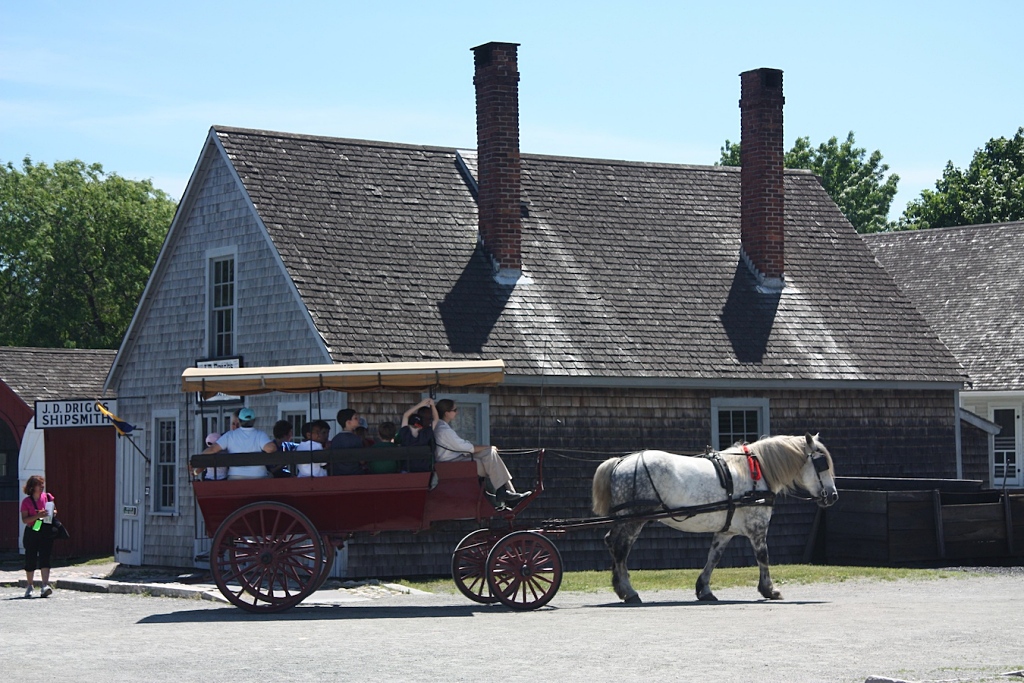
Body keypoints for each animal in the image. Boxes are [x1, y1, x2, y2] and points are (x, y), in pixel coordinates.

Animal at [593, 432, 839, 602]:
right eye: (821, 464)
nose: (833, 496)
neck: (755, 472)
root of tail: (621, 462)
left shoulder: (725, 531)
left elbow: (714, 557)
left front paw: (704, 589)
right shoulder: (758, 528)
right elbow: (763, 556)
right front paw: (769, 589)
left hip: (626, 519)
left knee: (612, 543)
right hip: (634, 520)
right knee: (620, 548)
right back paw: (629, 591)